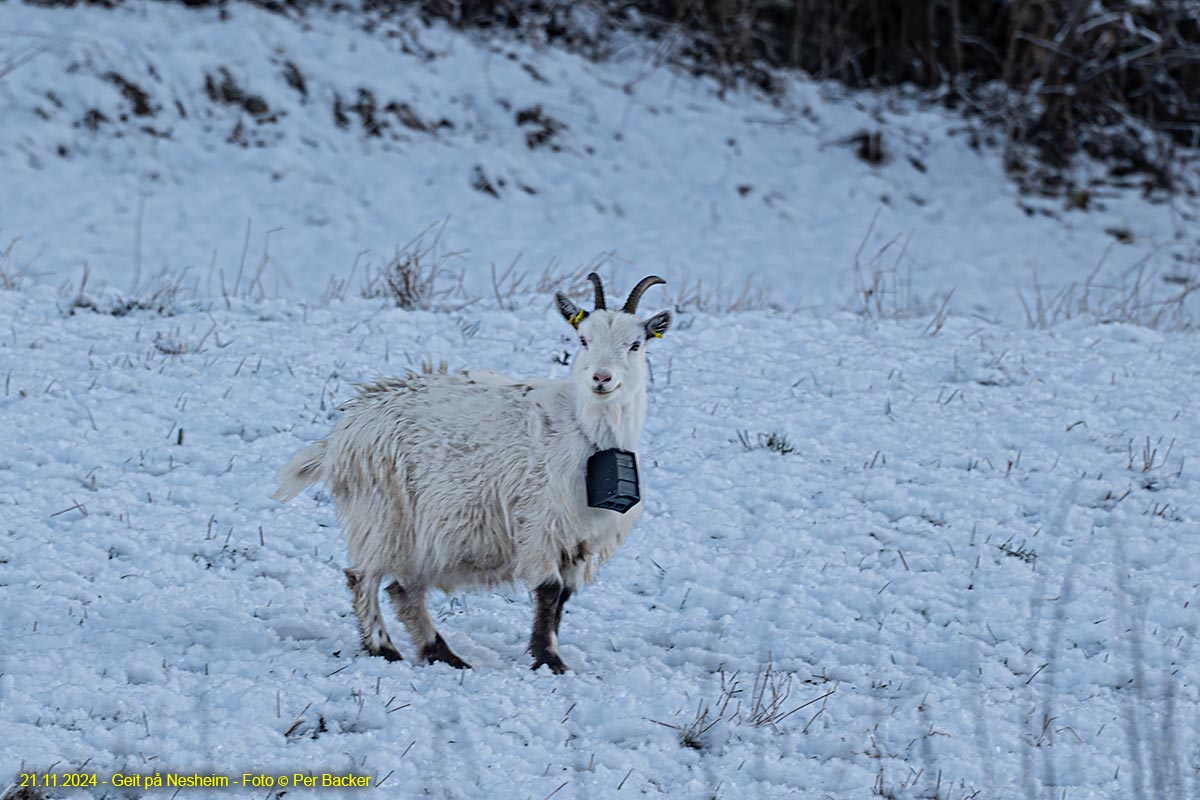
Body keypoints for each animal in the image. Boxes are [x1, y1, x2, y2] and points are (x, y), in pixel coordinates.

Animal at [274, 275, 681, 676]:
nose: (601, 378)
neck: (584, 431)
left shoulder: (581, 538)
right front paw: (549, 660)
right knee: (364, 578)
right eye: (583, 339)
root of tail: (343, 434)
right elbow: (549, 590)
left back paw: (442, 654)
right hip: (382, 516)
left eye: (636, 344)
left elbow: (563, 596)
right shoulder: (541, 524)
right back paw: (385, 649)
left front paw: (548, 656)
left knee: (403, 589)